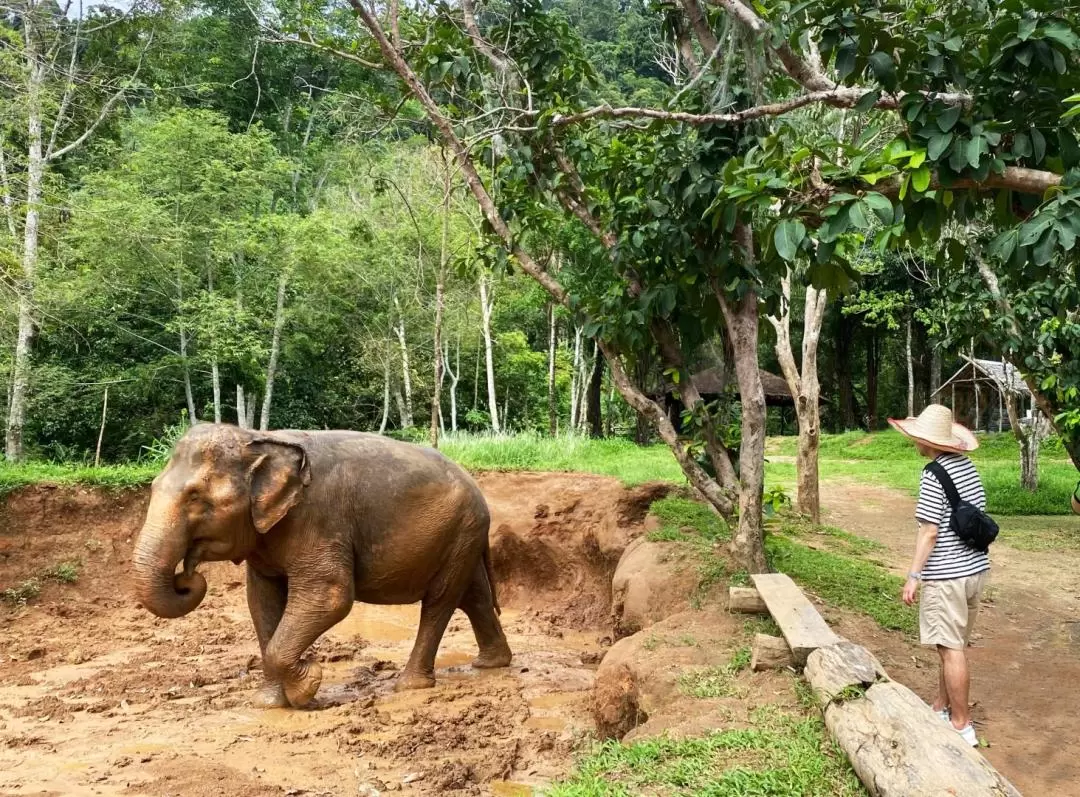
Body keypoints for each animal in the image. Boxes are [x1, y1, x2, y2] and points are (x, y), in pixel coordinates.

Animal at [129, 425, 509, 704]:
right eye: (154, 486)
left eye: (196, 498)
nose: (187, 575)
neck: (257, 438)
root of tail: (476, 485)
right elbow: (261, 600)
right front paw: (269, 703)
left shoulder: (318, 519)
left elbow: (330, 595)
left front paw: (308, 685)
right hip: (462, 537)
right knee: (472, 595)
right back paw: (491, 664)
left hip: (461, 530)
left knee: (440, 600)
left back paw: (410, 686)